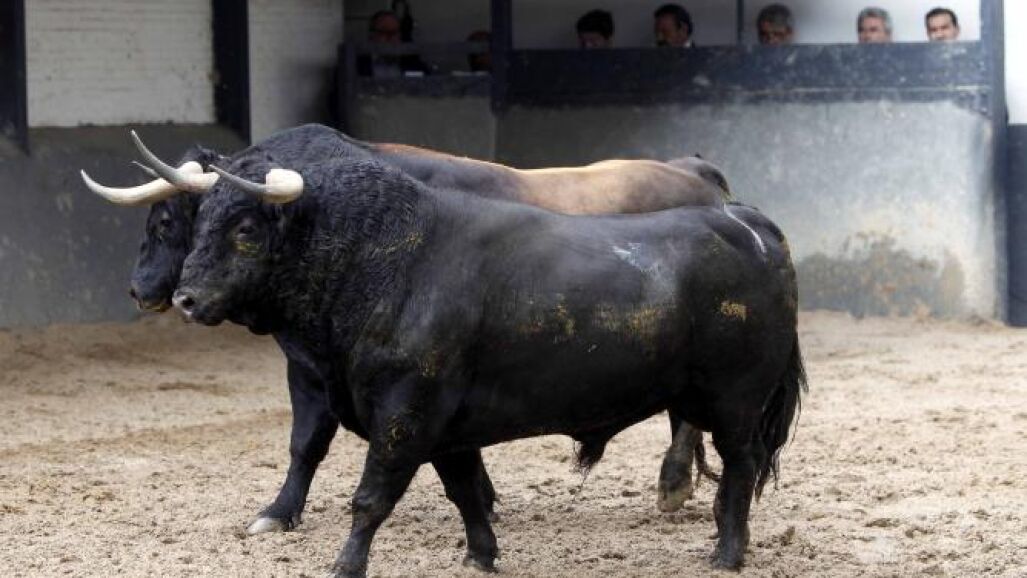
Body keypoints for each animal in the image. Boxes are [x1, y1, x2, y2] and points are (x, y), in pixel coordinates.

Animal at [81, 125, 728, 533]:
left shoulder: (316, 371)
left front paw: (278, 512)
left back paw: (673, 485)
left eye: (167, 221)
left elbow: (306, 440)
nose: (148, 291)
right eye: (195, 220)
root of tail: (693, 172)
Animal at [167, 154, 805, 576]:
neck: (382, 258)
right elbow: (466, 492)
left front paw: (345, 567)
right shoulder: (449, 429)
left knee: (741, 465)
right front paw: (481, 556)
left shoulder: (405, 415)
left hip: (736, 400)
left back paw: (726, 553)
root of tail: (749, 225)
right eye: (197, 223)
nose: (185, 299)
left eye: (245, 228)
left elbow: (370, 498)